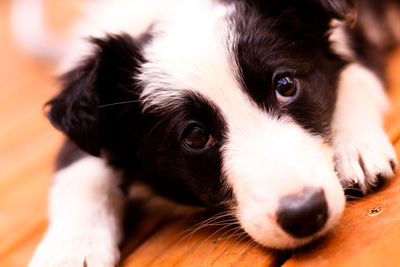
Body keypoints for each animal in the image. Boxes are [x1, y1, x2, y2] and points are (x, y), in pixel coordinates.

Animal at [26, 0, 398, 266]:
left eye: (286, 86)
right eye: (194, 136)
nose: (305, 214)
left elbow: (354, 80)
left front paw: (356, 148)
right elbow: (80, 170)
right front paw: (70, 249)